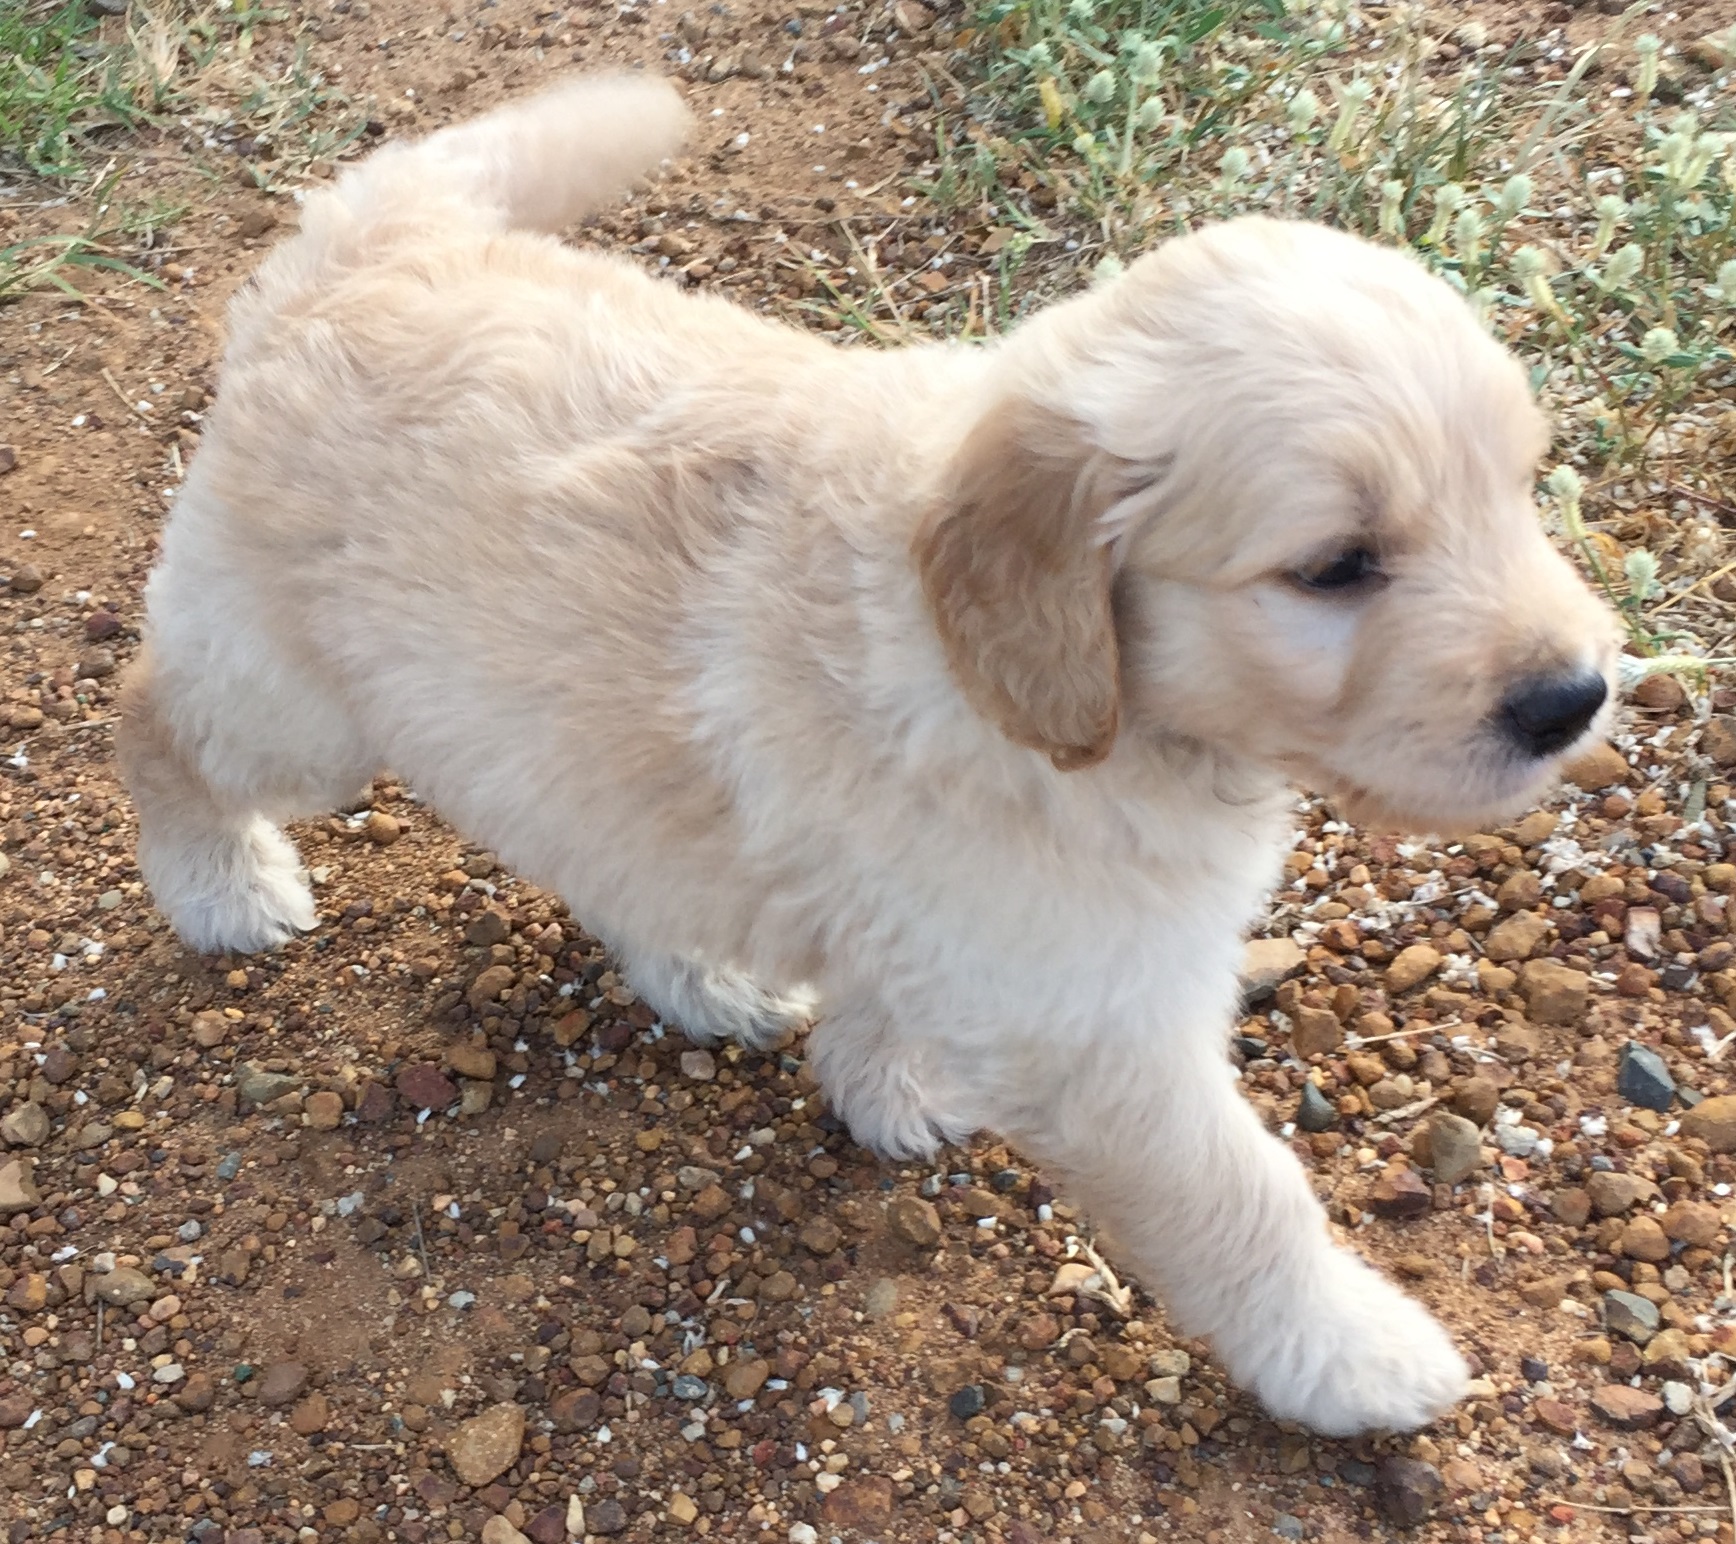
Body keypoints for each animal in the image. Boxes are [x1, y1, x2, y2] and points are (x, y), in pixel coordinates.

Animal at [118, 74, 1619, 1436]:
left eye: (1517, 490)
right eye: (1335, 567)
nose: (1576, 696)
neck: (1057, 704)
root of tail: (367, 246)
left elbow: (890, 996)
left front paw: (886, 1079)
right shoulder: (1102, 1038)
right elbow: (1242, 1201)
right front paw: (1352, 1352)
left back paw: (702, 973)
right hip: (296, 711)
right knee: (154, 718)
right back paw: (221, 884)